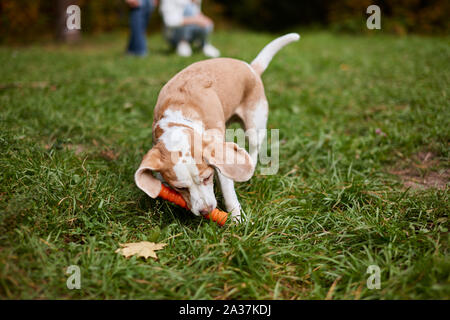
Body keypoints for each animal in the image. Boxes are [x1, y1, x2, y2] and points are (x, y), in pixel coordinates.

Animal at [135, 33, 300, 222]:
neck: (178, 114)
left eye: (207, 178)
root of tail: (251, 68)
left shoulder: (219, 158)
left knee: (253, 149)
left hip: (254, 126)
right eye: (180, 188)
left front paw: (237, 219)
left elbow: (228, 191)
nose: (206, 211)